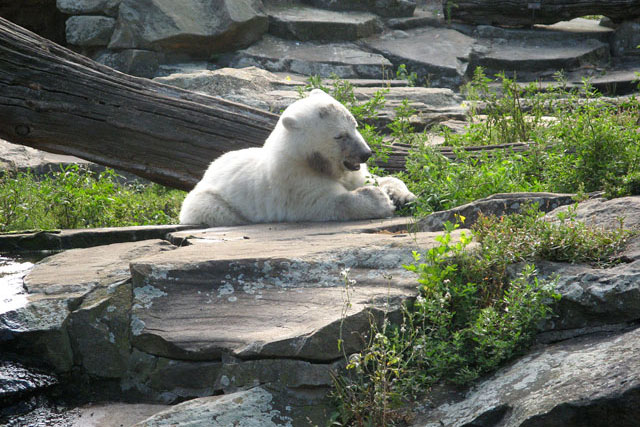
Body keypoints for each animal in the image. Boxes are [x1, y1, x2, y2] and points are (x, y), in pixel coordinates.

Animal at [179, 89, 416, 227]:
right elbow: (328, 202)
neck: (312, 161)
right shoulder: (295, 181)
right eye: (340, 135)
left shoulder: (351, 172)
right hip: (210, 202)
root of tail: (208, 170)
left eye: (355, 125)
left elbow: (378, 178)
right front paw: (381, 200)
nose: (365, 153)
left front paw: (401, 195)